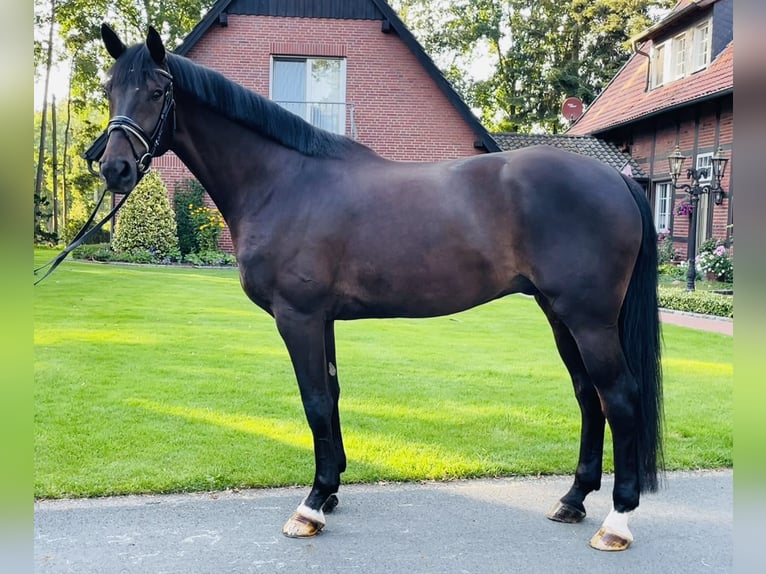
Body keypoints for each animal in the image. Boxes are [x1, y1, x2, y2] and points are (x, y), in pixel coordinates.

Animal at [96, 24, 664, 552]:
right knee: (589, 397)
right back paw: (573, 499)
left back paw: (617, 521)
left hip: (589, 319)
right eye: (109, 90)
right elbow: (332, 395)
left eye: (157, 90)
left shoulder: (298, 317)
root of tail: (617, 180)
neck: (283, 181)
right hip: (558, 313)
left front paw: (311, 506)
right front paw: (330, 490)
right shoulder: (321, 318)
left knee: (619, 397)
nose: (113, 167)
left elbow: (314, 402)